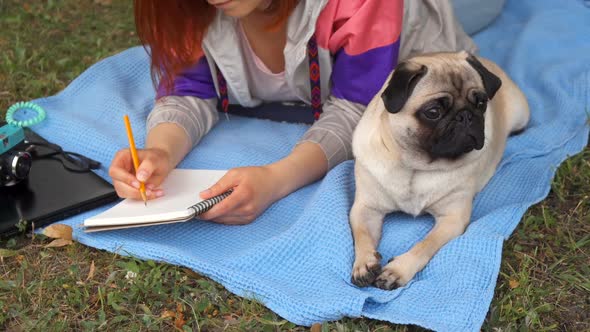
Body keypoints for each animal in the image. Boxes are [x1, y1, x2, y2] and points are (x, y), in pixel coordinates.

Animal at [352, 50, 532, 290]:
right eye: (433, 112)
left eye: (481, 103)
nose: (465, 115)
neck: (416, 167)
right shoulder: (365, 208)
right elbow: (361, 235)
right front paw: (363, 263)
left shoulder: (452, 219)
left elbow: (425, 245)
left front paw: (398, 270)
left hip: (522, 114)